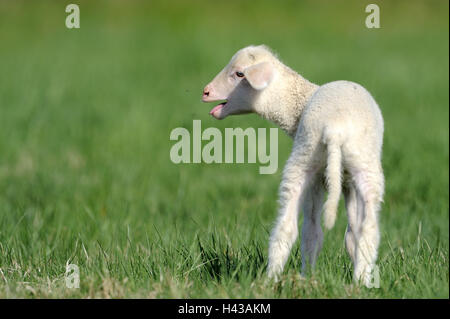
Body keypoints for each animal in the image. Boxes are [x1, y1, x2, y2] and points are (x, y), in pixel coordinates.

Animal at [202, 45, 384, 288]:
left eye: (240, 74)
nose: (206, 92)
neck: (299, 104)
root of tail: (334, 129)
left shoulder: (340, 180)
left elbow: (346, 235)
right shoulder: (337, 181)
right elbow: (341, 234)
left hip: (321, 162)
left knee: (293, 228)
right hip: (338, 164)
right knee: (346, 231)